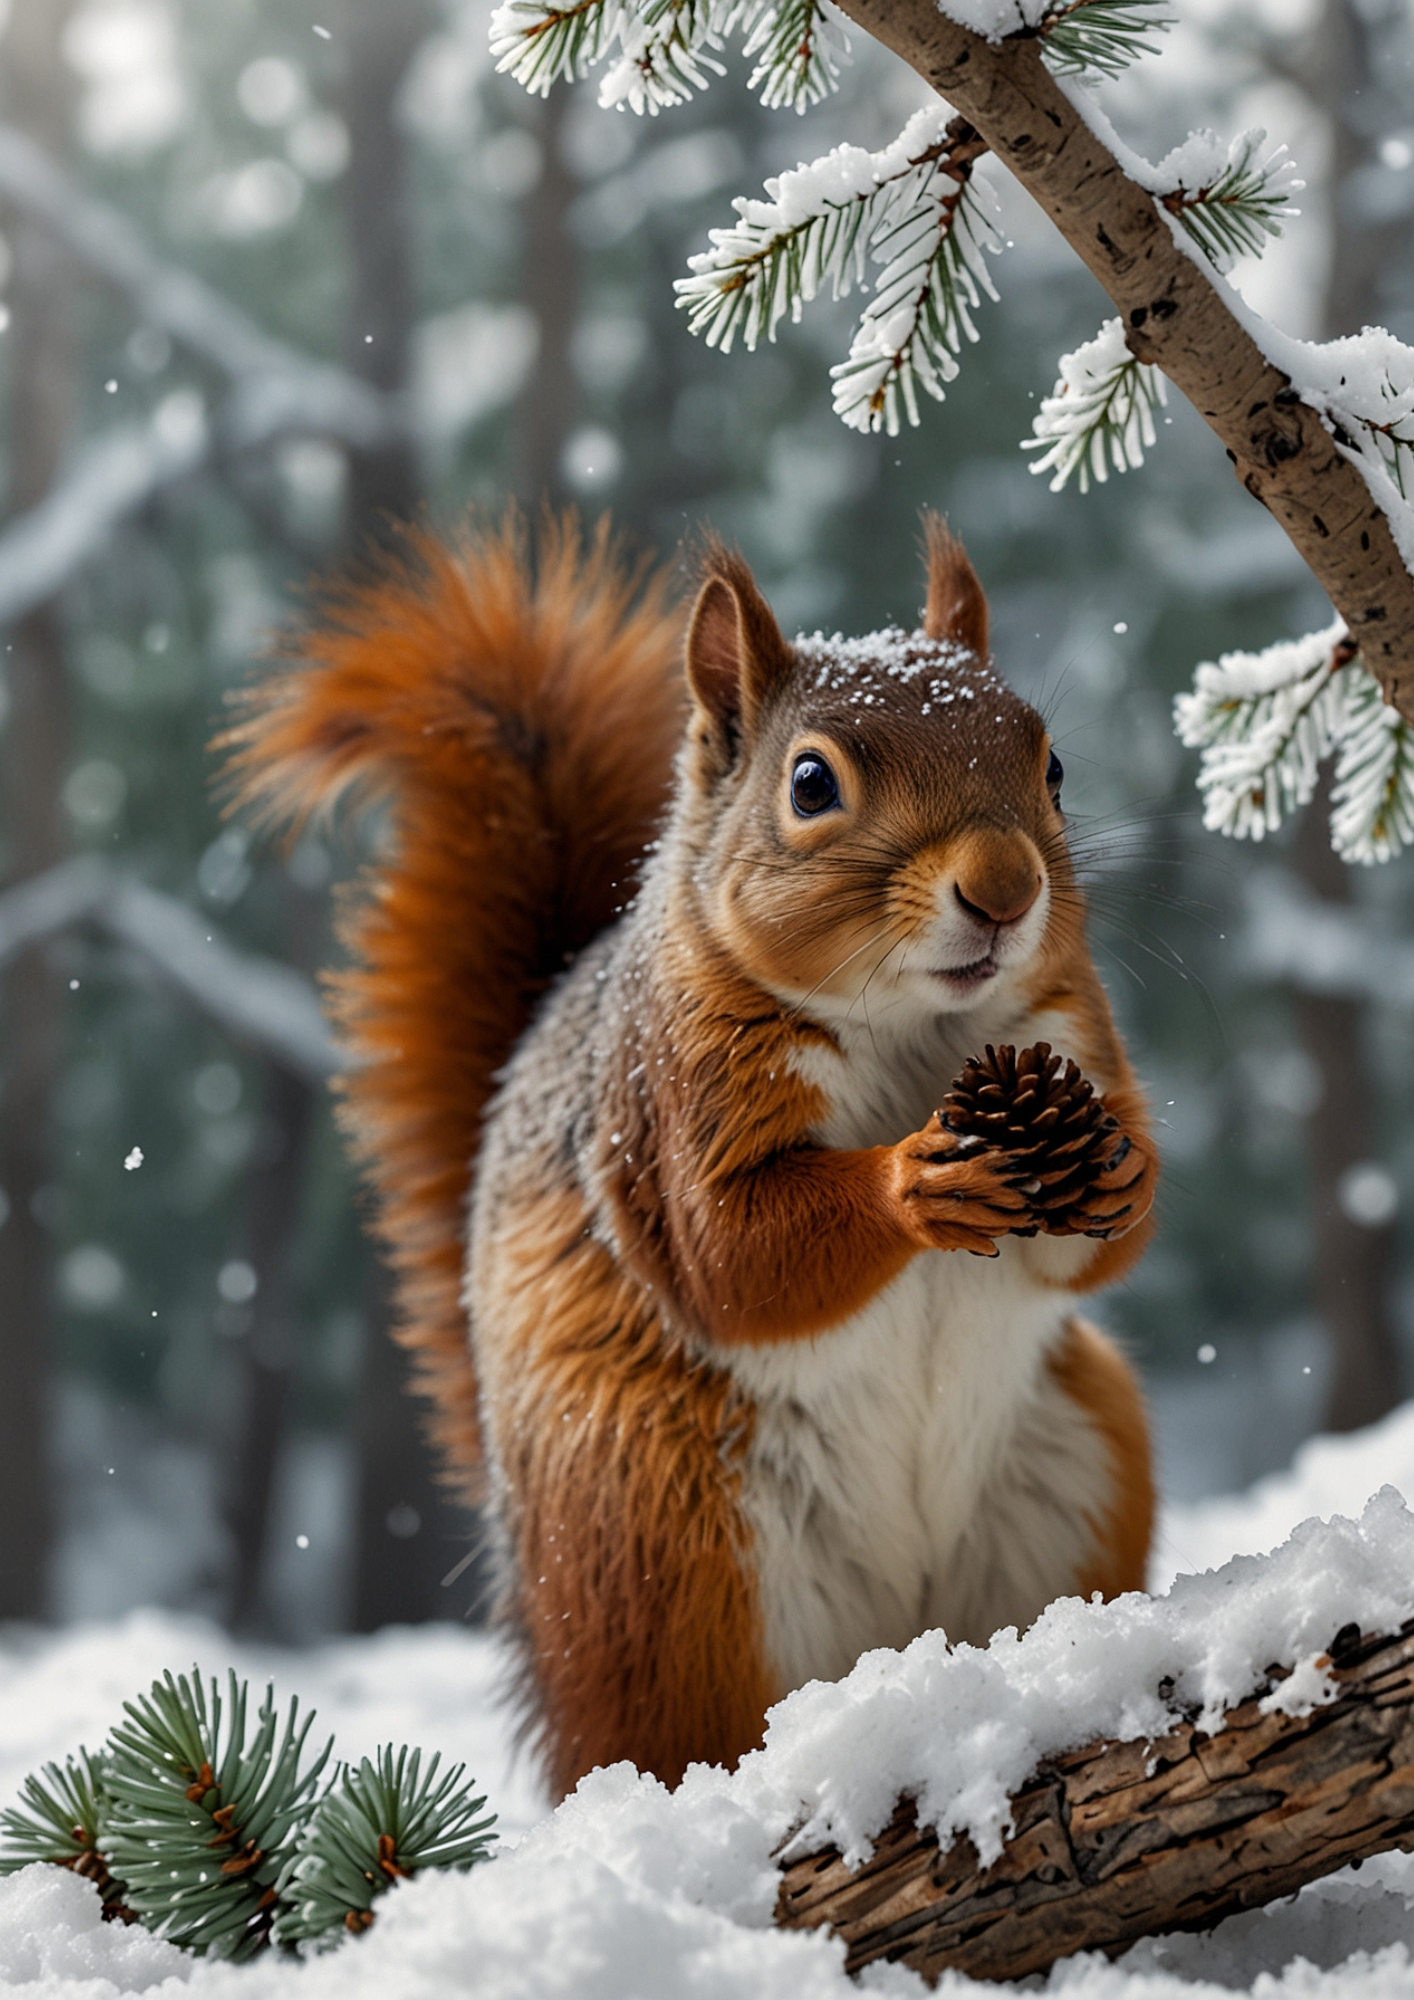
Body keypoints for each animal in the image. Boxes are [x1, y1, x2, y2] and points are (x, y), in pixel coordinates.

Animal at [223, 509, 1157, 1802]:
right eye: (810, 782)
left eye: (1052, 764)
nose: (1006, 889)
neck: (914, 1029)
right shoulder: (665, 1110)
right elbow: (731, 1253)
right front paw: (913, 1177)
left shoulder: (1068, 1031)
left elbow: (1093, 1248)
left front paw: (1122, 1175)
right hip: (660, 1547)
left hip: (1079, 1469)